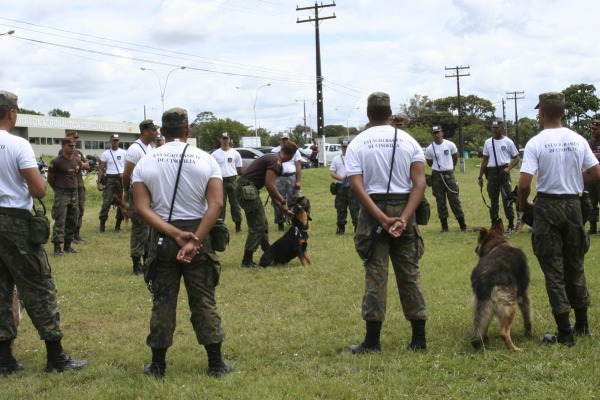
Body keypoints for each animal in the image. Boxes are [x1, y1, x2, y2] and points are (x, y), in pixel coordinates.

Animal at [472, 219, 532, 350]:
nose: (475, 249)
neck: (499, 243)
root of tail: (485, 278)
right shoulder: (524, 296)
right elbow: (527, 317)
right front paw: (529, 334)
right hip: (510, 306)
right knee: (504, 333)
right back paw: (515, 349)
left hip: (481, 307)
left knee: (483, 330)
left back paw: (487, 346)